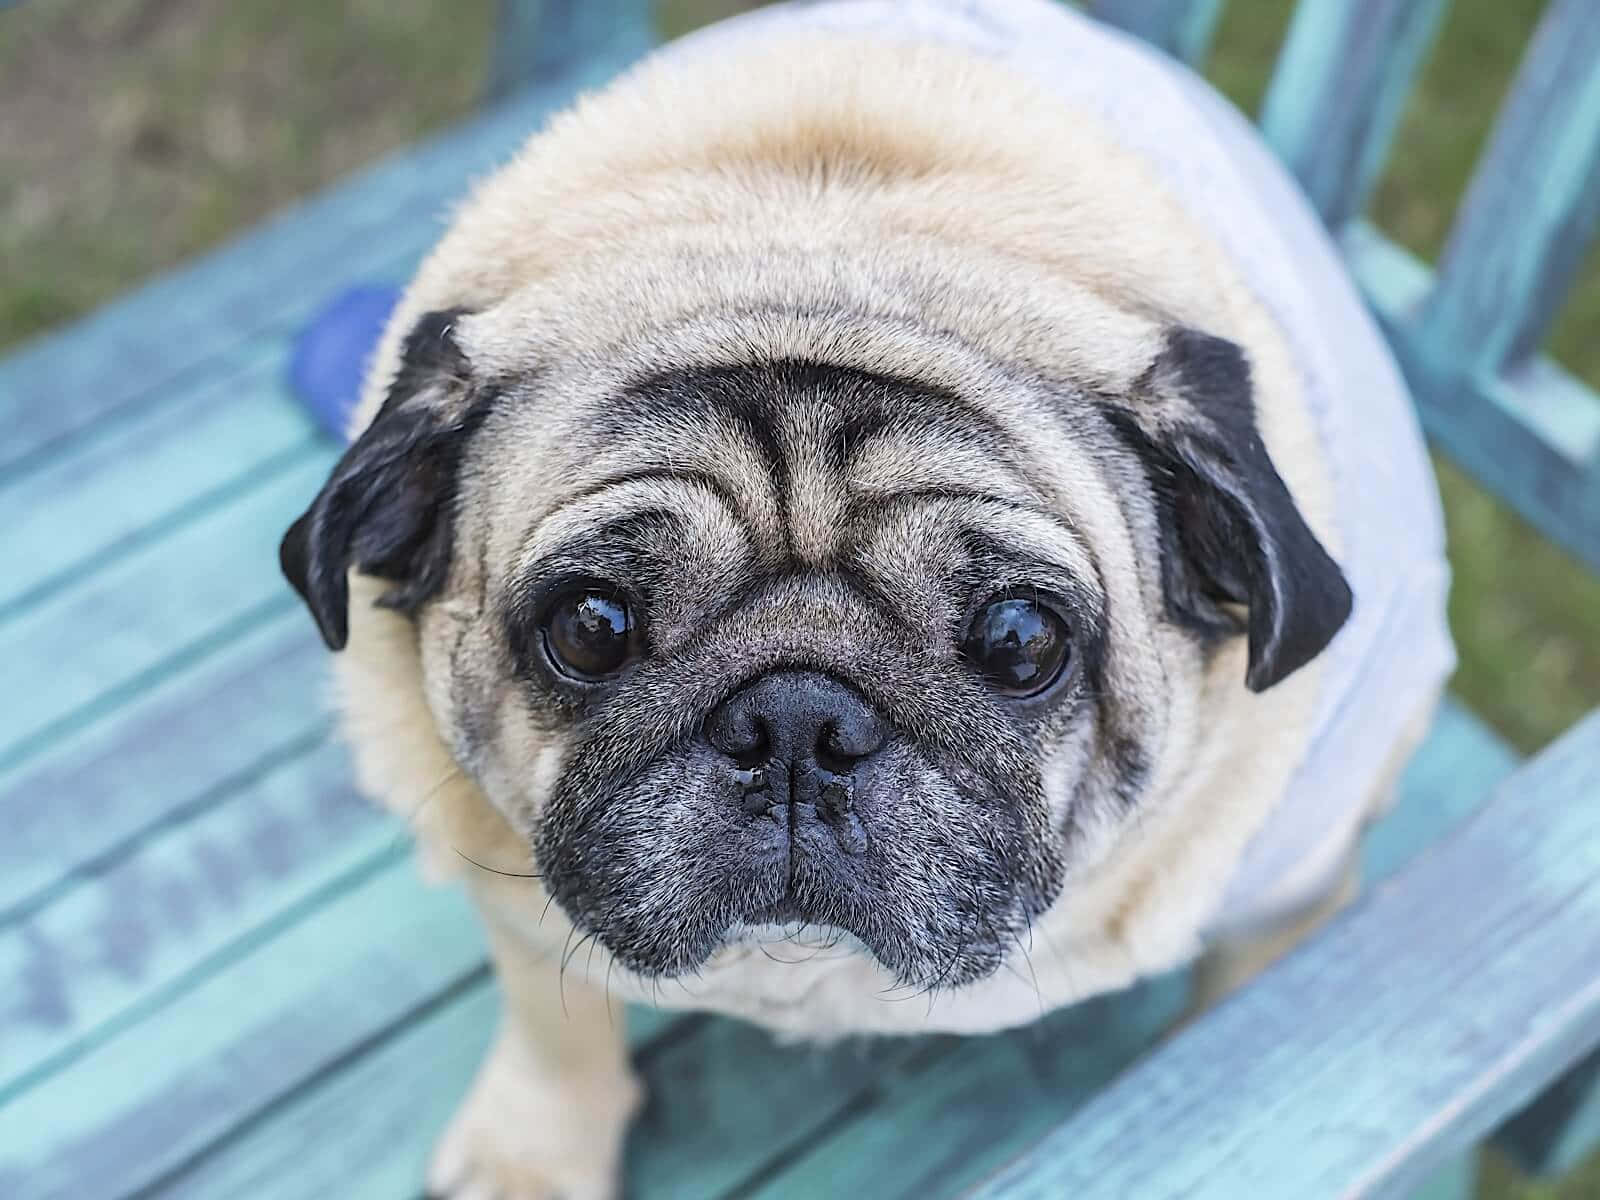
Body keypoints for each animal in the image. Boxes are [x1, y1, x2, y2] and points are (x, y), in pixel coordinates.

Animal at [281, 0, 1459, 1196]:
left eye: (1021, 641)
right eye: (591, 628)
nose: (798, 721)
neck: (827, 243)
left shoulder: (1286, 894)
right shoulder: (517, 901)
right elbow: (552, 1021)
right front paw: (535, 1153)